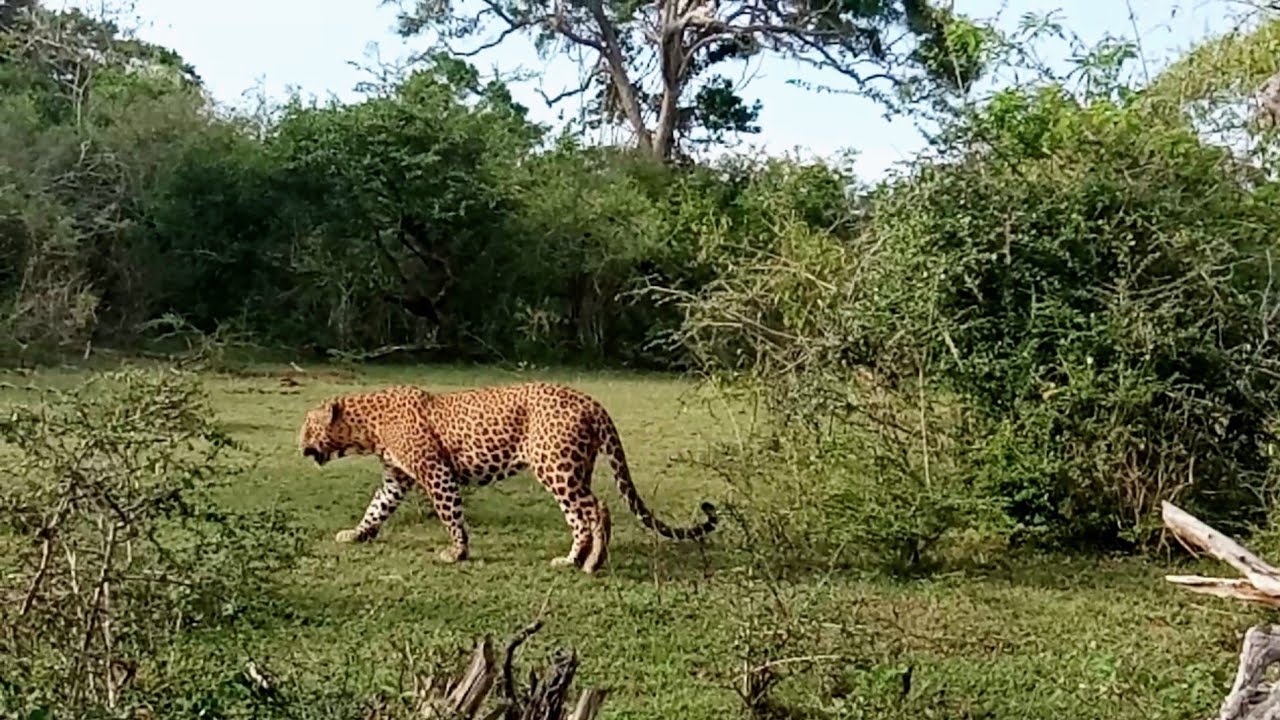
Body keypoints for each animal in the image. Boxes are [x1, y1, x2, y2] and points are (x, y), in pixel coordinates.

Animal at [296, 381, 718, 574]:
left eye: (307, 426)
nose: (297, 443)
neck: (365, 428)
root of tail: (590, 400)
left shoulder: (436, 472)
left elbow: (451, 515)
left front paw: (457, 552)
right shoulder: (396, 478)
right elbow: (375, 508)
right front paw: (355, 534)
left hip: (557, 468)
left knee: (597, 509)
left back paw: (592, 563)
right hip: (571, 469)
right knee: (579, 517)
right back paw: (570, 559)